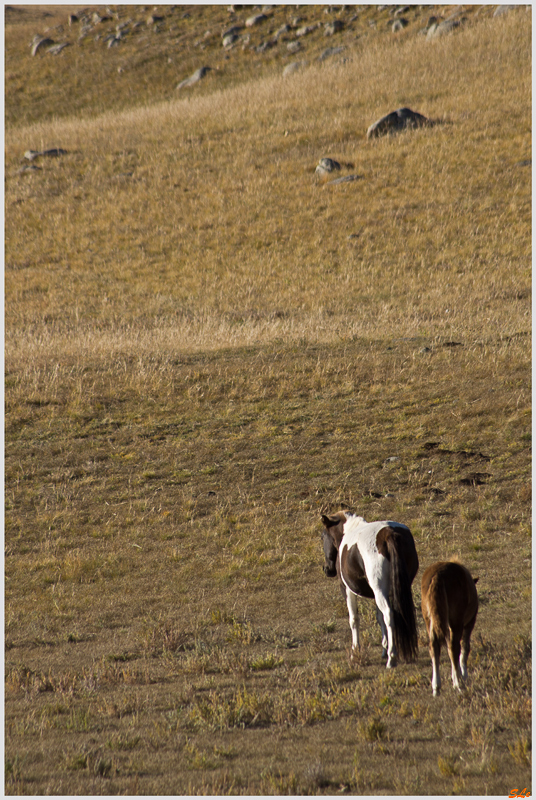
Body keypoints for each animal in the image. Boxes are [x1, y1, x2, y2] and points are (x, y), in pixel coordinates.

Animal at [322, 512, 418, 668]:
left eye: (322, 536)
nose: (327, 569)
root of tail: (388, 533)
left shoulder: (347, 590)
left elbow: (354, 619)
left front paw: (355, 651)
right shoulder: (379, 593)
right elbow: (379, 618)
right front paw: (384, 648)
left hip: (379, 591)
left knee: (389, 615)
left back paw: (392, 658)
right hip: (395, 589)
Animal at [420, 560, 480, 696]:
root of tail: (437, 576)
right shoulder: (469, 624)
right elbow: (465, 647)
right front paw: (463, 675)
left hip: (430, 621)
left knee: (434, 647)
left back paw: (436, 687)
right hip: (456, 622)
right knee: (454, 647)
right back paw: (459, 683)